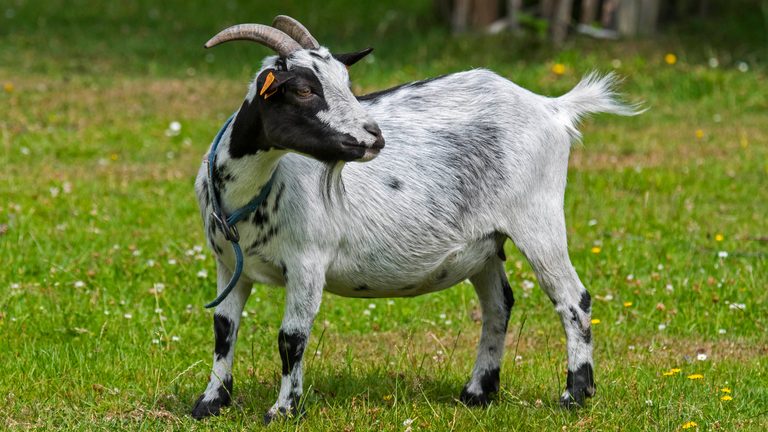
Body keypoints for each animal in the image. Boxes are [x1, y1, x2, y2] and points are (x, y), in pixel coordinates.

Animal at [191, 15, 639, 422]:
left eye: (347, 83)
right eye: (303, 89)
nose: (374, 137)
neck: (251, 191)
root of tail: (552, 107)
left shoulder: (307, 263)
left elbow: (291, 339)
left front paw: (283, 411)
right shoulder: (229, 265)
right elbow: (223, 329)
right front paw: (210, 402)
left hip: (538, 217)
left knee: (573, 299)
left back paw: (574, 396)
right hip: (485, 244)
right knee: (499, 305)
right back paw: (478, 392)